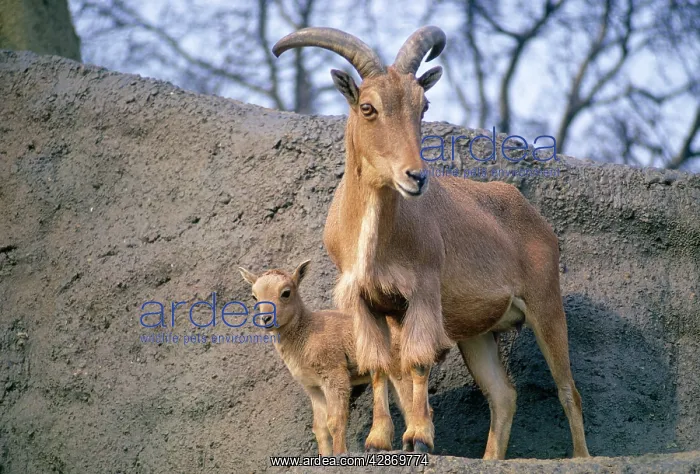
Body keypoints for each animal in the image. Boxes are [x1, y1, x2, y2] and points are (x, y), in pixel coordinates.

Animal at [238, 260, 426, 455]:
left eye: (285, 292)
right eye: (254, 296)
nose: (266, 319)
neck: (306, 335)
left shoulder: (335, 376)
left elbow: (335, 421)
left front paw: (338, 453)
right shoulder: (313, 388)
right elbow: (320, 428)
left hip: (399, 366)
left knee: (410, 403)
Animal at [271, 26, 590, 459]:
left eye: (423, 105)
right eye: (368, 107)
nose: (416, 176)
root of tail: (537, 220)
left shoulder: (421, 291)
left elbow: (418, 361)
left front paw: (419, 436)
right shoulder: (366, 301)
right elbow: (380, 366)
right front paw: (379, 439)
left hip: (545, 302)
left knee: (568, 388)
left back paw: (582, 456)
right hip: (477, 333)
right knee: (503, 394)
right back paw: (489, 458)